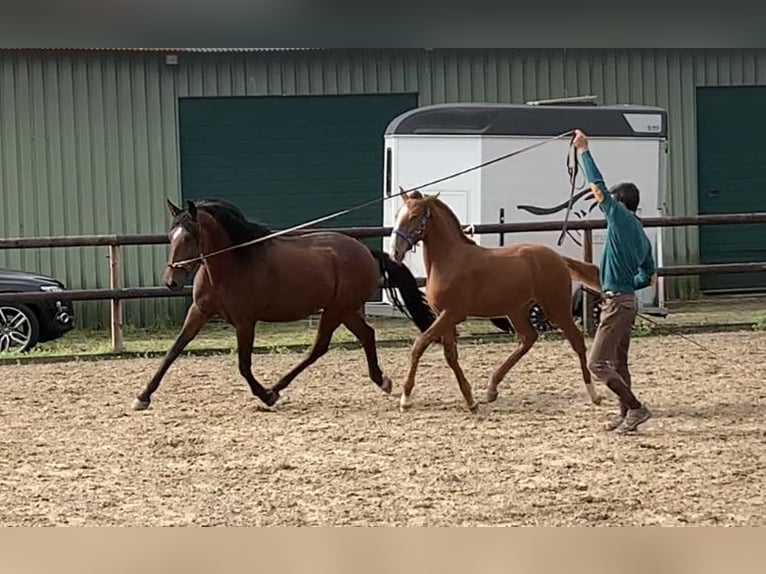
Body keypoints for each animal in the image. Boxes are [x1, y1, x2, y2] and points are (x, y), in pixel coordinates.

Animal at [129, 200, 436, 412]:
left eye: (189, 237)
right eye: (171, 236)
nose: (171, 281)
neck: (231, 264)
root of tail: (365, 251)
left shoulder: (245, 321)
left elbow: (243, 365)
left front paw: (264, 395)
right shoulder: (199, 312)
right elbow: (173, 351)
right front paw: (143, 397)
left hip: (336, 309)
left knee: (319, 347)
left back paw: (276, 390)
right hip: (346, 310)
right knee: (366, 335)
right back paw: (382, 381)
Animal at [390, 190, 608, 414]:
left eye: (414, 215)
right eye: (398, 215)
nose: (395, 251)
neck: (450, 260)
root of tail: (559, 258)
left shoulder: (453, 313)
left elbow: (420, 344)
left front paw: (405, 399)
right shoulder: (443, 315)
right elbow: (450, 355)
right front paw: (471, 400)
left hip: (556, 308)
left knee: (576, 341)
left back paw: (594, 393)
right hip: (517, 310)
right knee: (528, 338)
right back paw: (492, 388)